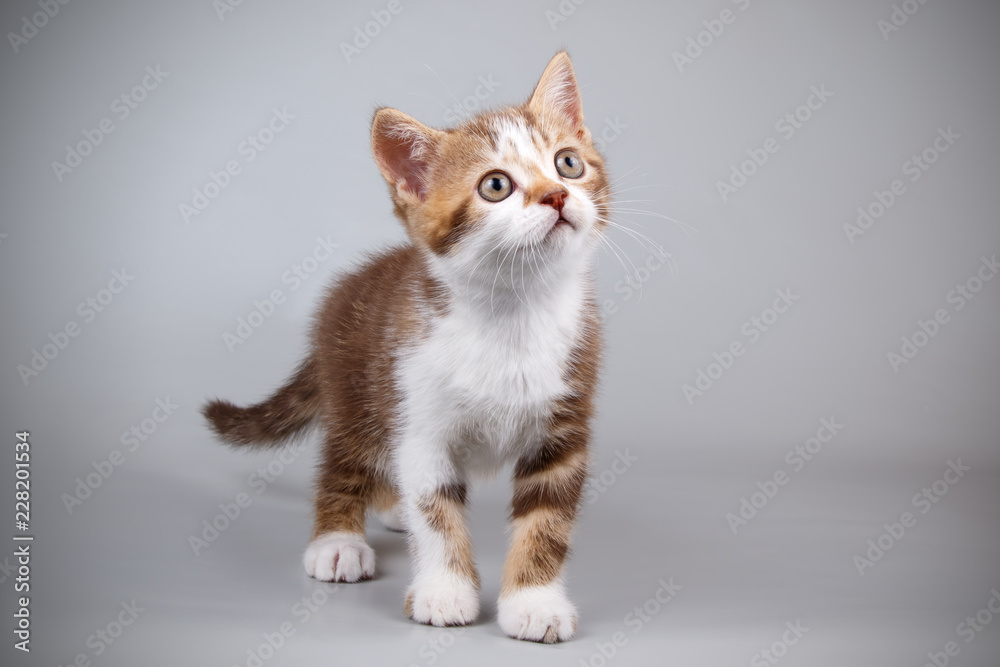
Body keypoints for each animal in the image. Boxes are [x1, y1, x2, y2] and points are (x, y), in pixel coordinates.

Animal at [201, 49, 608, 644]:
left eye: (569, 163)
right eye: (495, 186)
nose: (557, 195)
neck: (512, 312)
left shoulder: (563, 426)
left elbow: (547, 520)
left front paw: (534, 602)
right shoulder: (420, 416)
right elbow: (436, 511)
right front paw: (446, 592)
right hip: (358, 386)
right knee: (344, 459)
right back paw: (337, 540)